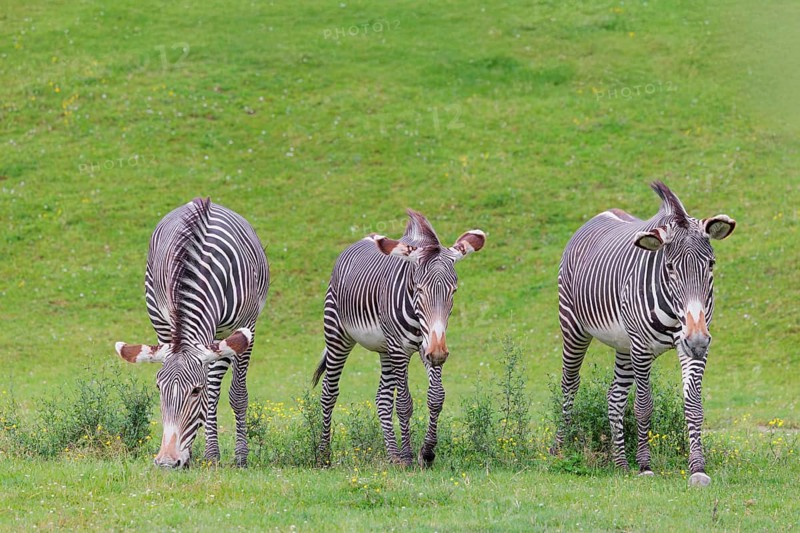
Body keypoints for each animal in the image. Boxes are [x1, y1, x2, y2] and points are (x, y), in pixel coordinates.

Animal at [115, 197, 269, 468]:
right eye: (159, 389)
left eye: (195, 391)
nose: (166, 462)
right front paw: (194, 455)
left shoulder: (247, 326)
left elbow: (237, 395)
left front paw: (241, 457)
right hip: (160, 317)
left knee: (216, 385)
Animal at [312, 209, 485, 467]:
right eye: (419, 289)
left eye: (453, 291)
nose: (438, 353)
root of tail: (364, 238)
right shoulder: (400, 350)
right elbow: (404, 403)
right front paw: (408, 456)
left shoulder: (427, 346)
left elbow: (436, 397)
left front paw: (427, 452)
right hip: (338, 335)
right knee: (329, 391)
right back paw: (324, 456)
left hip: (385, 349)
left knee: (382, 398)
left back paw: (392, 454)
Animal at [555, 181, 735, 486]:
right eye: (670, 267)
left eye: (711, 264)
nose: (698, 340)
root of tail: (602, 214)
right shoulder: (641, 347)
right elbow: (643, 406)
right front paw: (645, 466)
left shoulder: (691, 344)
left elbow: (694, 404)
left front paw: (698, 468)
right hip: (573, 326)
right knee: (570, 384)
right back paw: (559, 450)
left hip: (623, 345)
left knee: (614, 397)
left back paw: (620, 463)